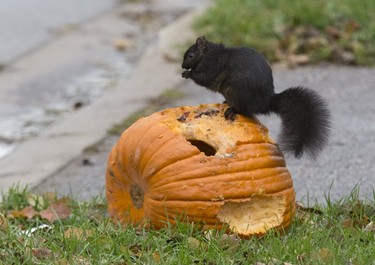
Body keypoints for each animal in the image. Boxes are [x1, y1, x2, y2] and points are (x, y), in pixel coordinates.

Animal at [183, 35, 332, 158]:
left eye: (190, 55)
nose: (182, 66)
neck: (209, 53)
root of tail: (266, 103)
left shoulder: (212, 65)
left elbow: (204, 78)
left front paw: (188, 73)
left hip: (237, 92)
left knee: (243, 110)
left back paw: (232, 110)